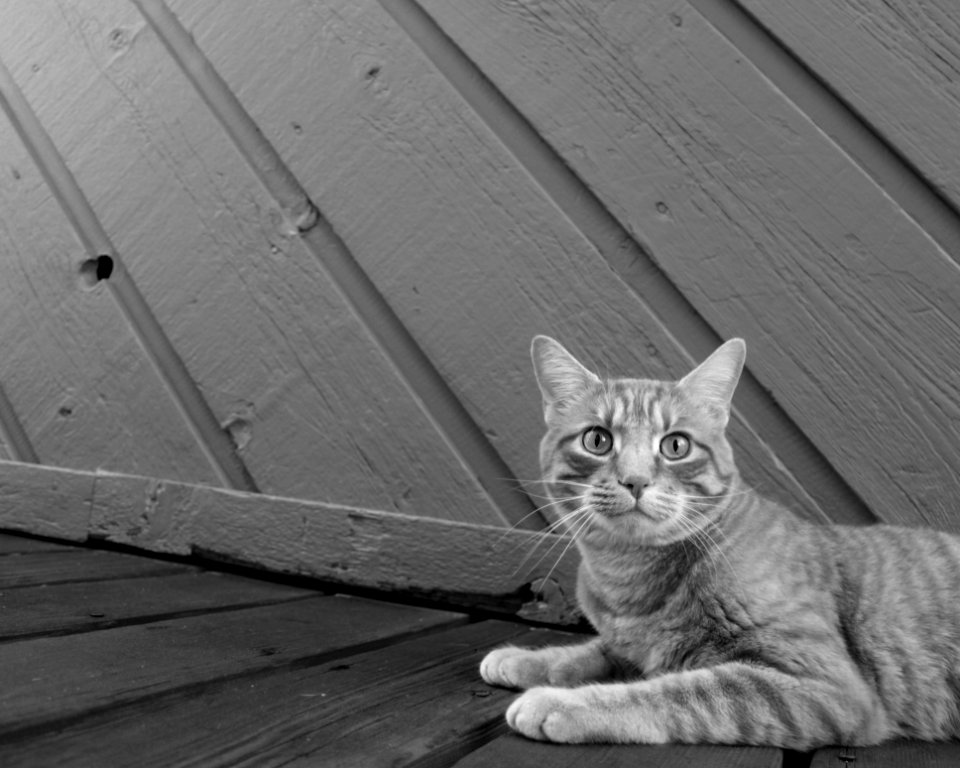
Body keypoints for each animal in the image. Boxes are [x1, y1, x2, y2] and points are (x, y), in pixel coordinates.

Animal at [484, 336, 960, 752]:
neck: (630, 579)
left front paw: (560, 702)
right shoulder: (629, 645)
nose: (635, 481)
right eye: (597, 440)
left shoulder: (824, 686)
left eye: (676, 445)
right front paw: (524, 660)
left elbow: (673, 692)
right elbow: (590, 652)